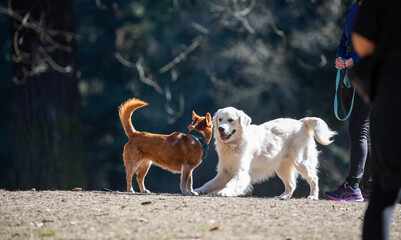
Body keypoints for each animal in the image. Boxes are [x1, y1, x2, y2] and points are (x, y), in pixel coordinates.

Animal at [194, 107, 334, 199]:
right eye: (220, 119)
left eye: (231, 120)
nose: (221, 128)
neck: (233, 146)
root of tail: (301, 123)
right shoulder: (224, 173)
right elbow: (209, 184)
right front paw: (199, 190)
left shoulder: (241, 173)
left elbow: (231, 183)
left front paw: (225, 192)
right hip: (282, 167)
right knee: (291, 184)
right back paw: (283, 196)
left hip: (301, 162)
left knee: (314, 178)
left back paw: (313, 196)